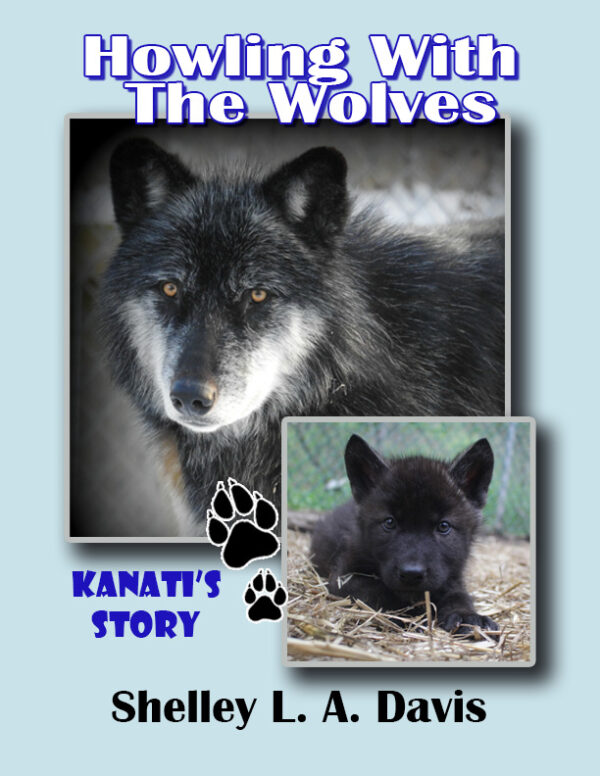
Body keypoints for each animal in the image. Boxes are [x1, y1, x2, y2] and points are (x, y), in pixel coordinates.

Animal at [311, 434, 499, 634]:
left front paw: (468, 616)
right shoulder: (342, 577)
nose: (411, 574)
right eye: (389, 522)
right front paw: (409, 614)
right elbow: (377, 591)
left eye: (443, 526)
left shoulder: (452, 577)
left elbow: (459, 596)